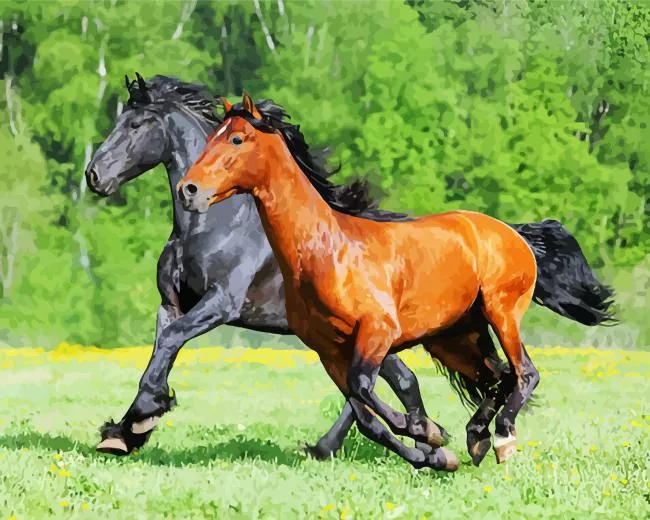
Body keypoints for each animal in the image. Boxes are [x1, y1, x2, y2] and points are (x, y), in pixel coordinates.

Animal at [85, 73, 446, 458]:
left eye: (135, 124)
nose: (94, 175)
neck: (214, 225)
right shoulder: (171, 304)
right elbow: (162, 349)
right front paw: (123, 431)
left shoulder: (219, 304)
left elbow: (169, 342)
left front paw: (143, 416)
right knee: (396, 381)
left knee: (384, 384)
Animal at [177, 92, 616, 470]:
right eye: (212, 136)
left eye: (236, 138)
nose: (188, 190)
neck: (325, 253)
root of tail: (514, 232)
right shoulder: (329, 352)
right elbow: (367, 417)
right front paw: (436, 453)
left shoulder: (377, 333)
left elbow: (367, 390)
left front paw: (429, 432)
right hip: (456, 339)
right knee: (500, 377)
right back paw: (475, 437)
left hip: (501, 313)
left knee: (525, 373)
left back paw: (502, 439)